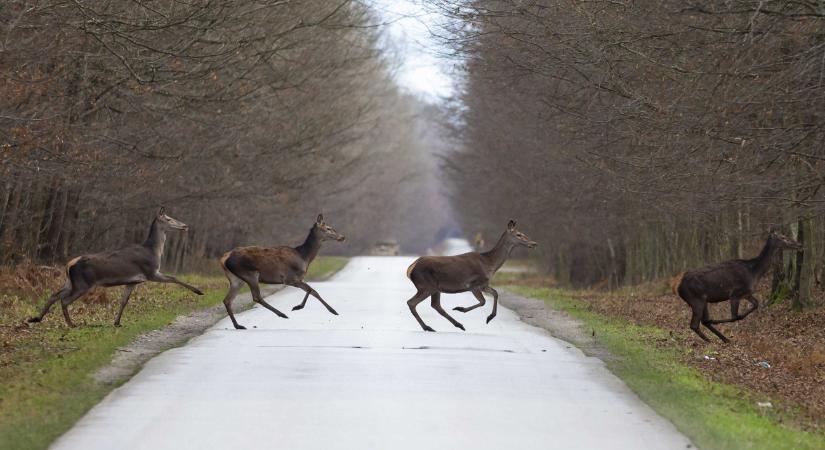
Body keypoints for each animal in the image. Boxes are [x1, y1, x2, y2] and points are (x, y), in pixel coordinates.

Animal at [29, 207, 204, 326]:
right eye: (168, 219)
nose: (185, 226)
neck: (153, 251)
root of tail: (68, 264)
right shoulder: (150, 272)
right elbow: (174, 277)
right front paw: (199, 291)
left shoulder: (133, 281)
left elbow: (124, 301)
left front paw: (117, 322)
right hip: (82, 283)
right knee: (64, 300)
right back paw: (71, 324)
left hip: (71, 282)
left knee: (54, 295)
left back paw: (36, 318)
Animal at [404, 220, 536, 332]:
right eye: (519, 234)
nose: (534, 243)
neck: (489, 264)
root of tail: (411, 268)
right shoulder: (473, 284)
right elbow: (483, 301)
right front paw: (461, 309)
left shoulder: (484, 284)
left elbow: (495, 293)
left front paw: (490, 317)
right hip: (426, 286)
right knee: (412, 302)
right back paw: (428, 327)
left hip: (435, 288)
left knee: (435, 305)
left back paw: (456, 325)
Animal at [672, 230, 800, 342]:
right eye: (783, 237)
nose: (798, 244)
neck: (754, 273)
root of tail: (678, 287)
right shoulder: (735, 293)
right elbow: (735, 317)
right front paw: (717, 321)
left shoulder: (746, 293)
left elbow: (756, 304)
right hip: (696, 299)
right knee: (695, 324)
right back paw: (711, 340)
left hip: (703, 300)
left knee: (702, 321)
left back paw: (724, 339)